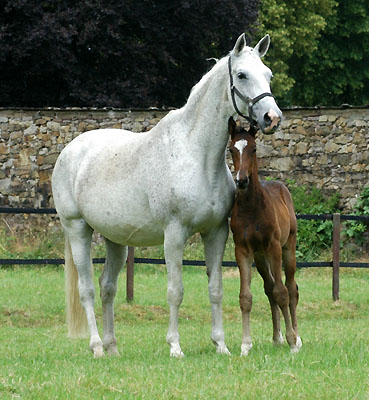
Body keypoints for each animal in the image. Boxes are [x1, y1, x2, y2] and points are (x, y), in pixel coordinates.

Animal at [51, 33, 280, 356]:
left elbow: (216, 289)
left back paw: (112, 348)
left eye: (268, 74)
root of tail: (71, 151)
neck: (197, 155)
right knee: (87, 290)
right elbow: (175, 291)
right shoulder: (174, 233)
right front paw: (175, 346)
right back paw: (97, 347)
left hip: (115, 240)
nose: (272, 117)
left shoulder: (216, 233)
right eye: (241, 75)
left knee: (108, 287)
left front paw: (221, 345)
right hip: (77, 229)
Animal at [227, 117, 302, 354]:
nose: (241, 181)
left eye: (253, 148)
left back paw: (297, 337)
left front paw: (292, 341)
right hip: (260, 258)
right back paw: (276, 337)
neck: (252, 207)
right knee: (269, 288)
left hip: (288, 248)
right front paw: (245, 345)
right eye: (231, 149)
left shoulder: (274, 247)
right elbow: (246, 296)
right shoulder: (243, 250)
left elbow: (282, 292)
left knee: (291, 288)